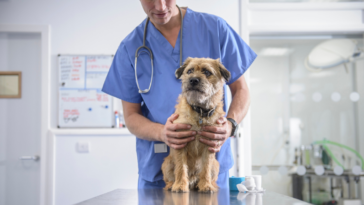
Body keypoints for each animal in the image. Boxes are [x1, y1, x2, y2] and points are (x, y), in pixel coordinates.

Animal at [161, 57, 230, 192]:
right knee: (168, 179)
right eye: (189, 71)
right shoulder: (180, 142)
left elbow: (206, 168)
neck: (200, 112)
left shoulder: (210, 144)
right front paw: (180, 185)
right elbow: (181, 168)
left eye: (207, 72)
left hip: (216, 165)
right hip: (167, 163)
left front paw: (206, 185)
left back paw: (209, 184)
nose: (193, 80)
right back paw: (172, 185)